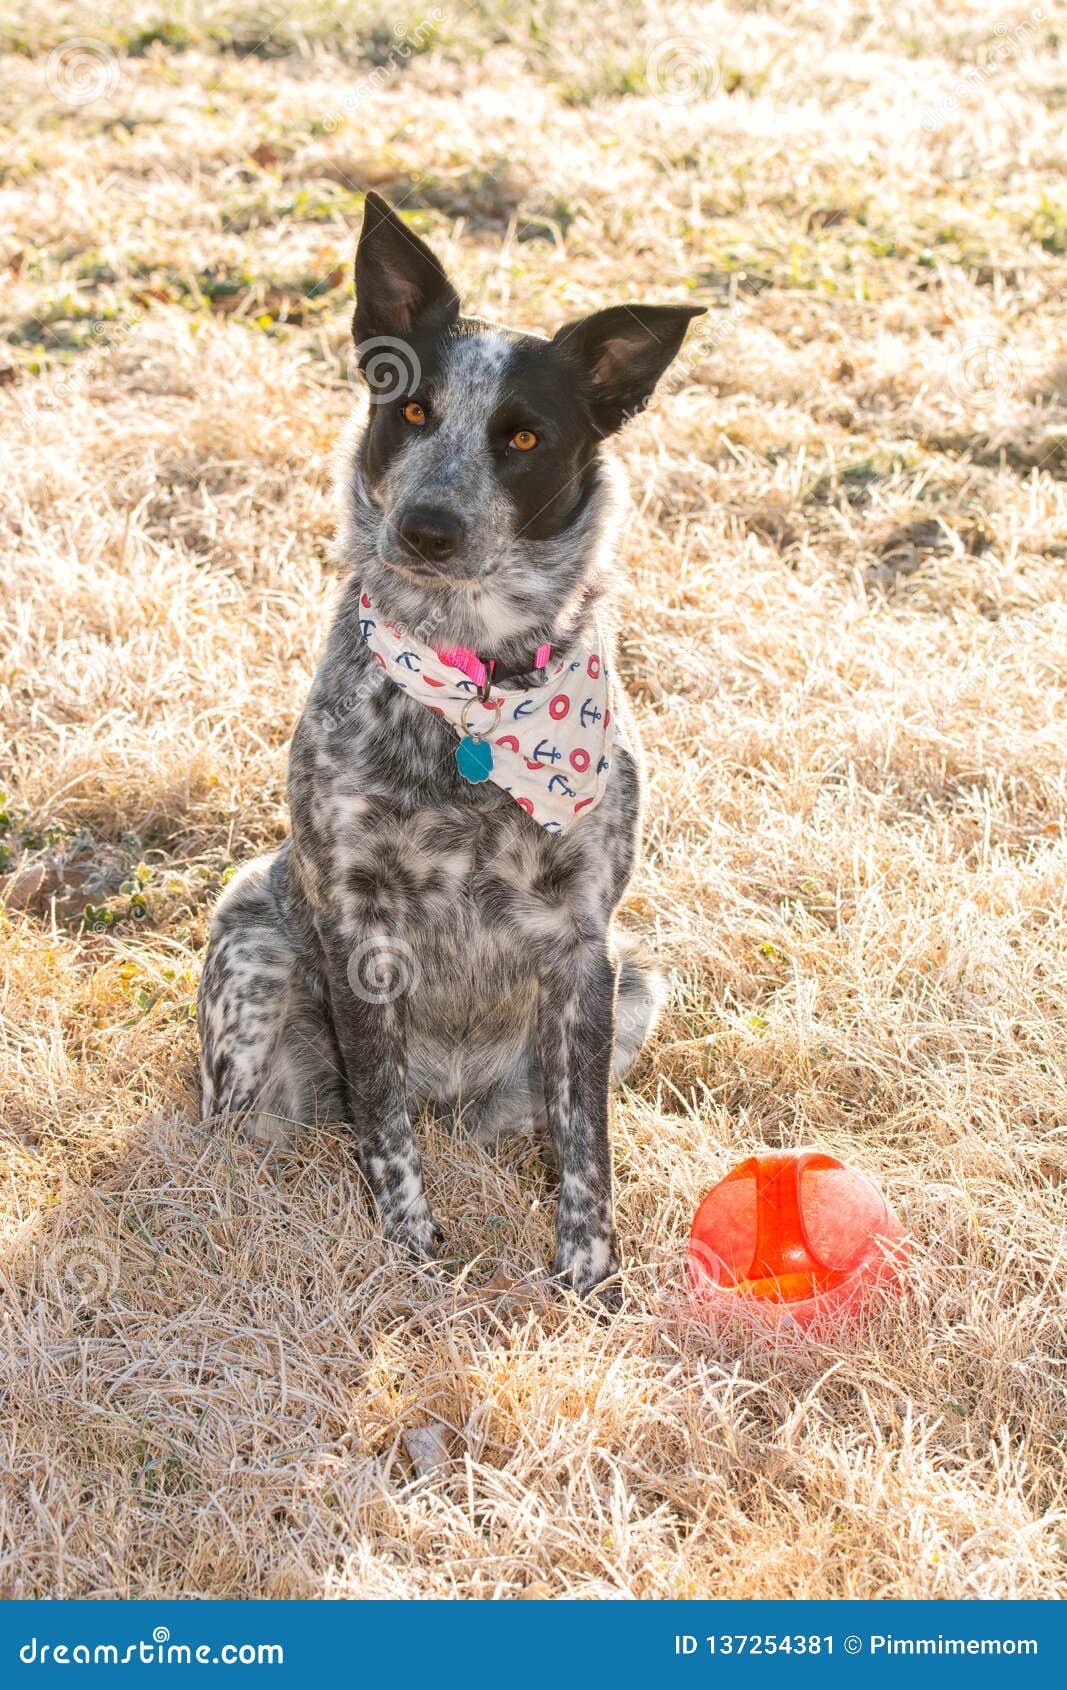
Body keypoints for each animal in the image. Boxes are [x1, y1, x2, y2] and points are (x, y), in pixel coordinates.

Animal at [196, 191, 706, 1291]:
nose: (427, 527)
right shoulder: (359, 928)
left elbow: (587, 1142)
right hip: (249, 949)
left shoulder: (584, 941)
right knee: (250, 1127)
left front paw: (587, 1278)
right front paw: (410, 1253)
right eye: (414, 412)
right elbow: (384, 1128)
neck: (473, 690)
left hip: (637, 979)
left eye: (521, 438)